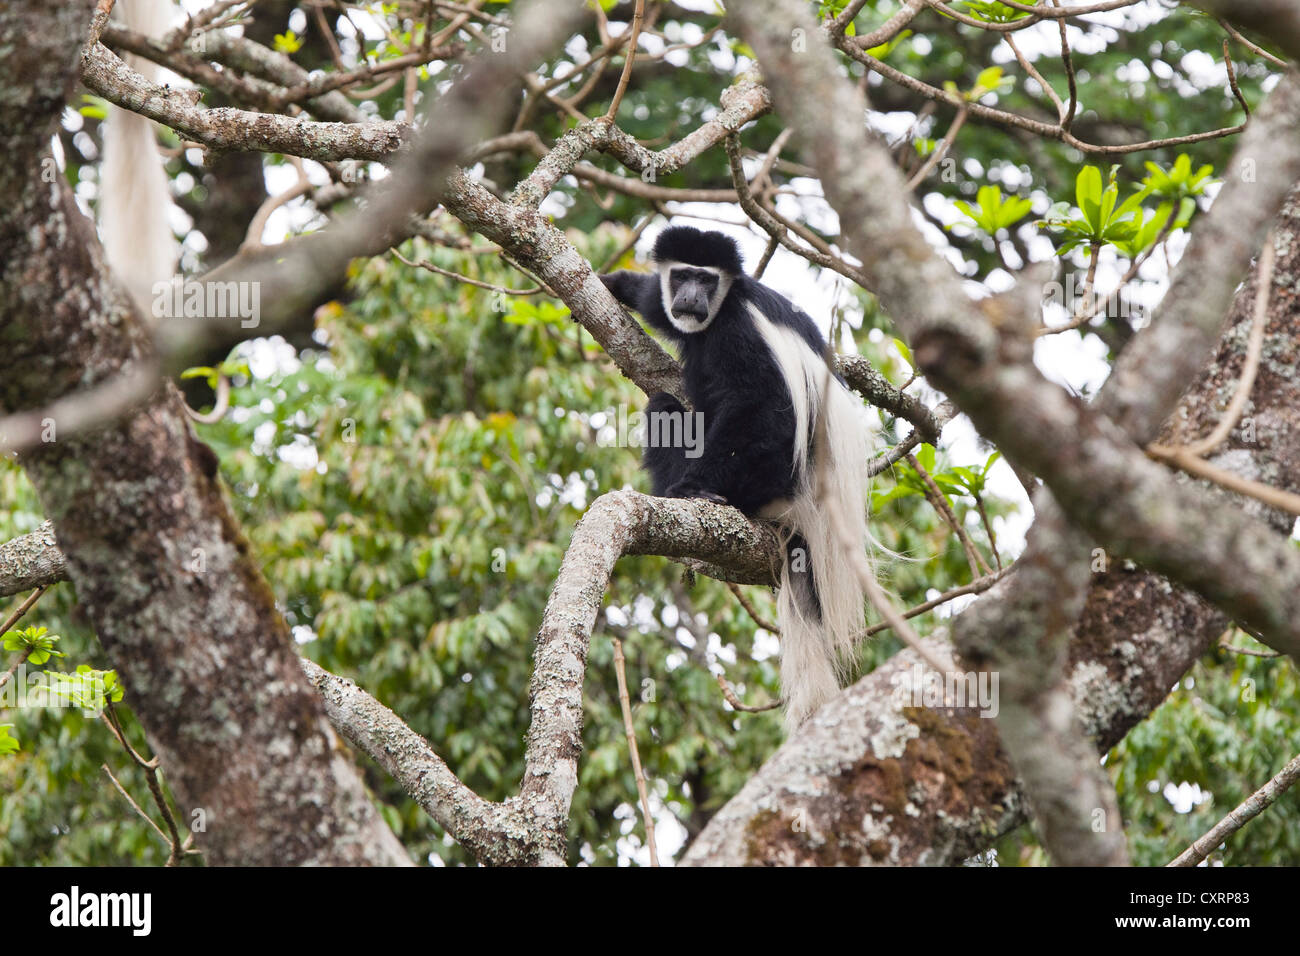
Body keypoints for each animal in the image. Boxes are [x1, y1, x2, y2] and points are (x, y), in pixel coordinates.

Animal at [600, 227, 873, 728]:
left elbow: (761, 406)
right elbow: (655, 305)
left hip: (766, 477)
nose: (690, 298)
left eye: (706, 280)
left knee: (669, 408)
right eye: (682, 275)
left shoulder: (740, 332)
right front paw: (619, 283)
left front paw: (692, 487)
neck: (725, 306)